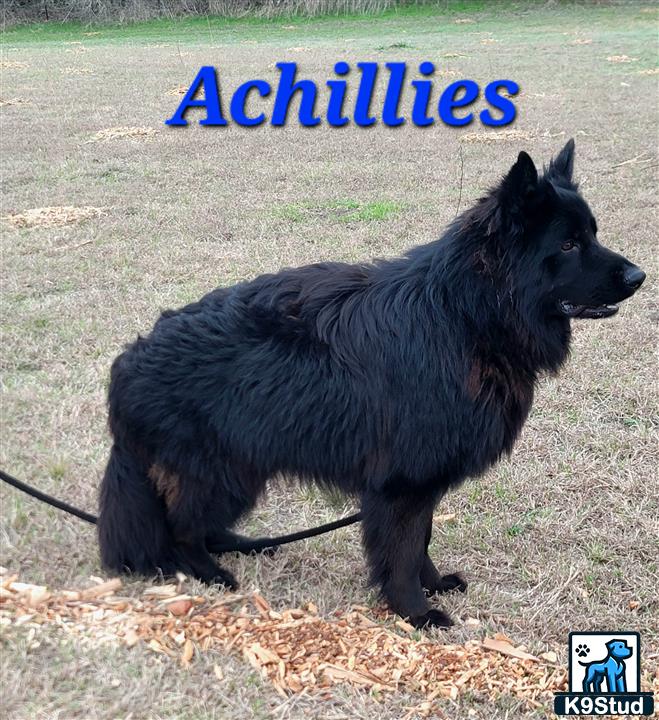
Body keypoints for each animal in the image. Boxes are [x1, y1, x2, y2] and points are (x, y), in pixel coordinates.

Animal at [98, 139, 644, 624]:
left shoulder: (424, 480)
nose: (639, 276)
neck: (465, 316)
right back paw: (209, 573)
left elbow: (421, 540)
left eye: (593, 235)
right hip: (222, 474)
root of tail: (128, 362)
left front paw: (432, 585)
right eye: (569, 244)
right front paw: (415, 613)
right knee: (181, 527)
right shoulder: (402, 484)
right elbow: (401, 551)